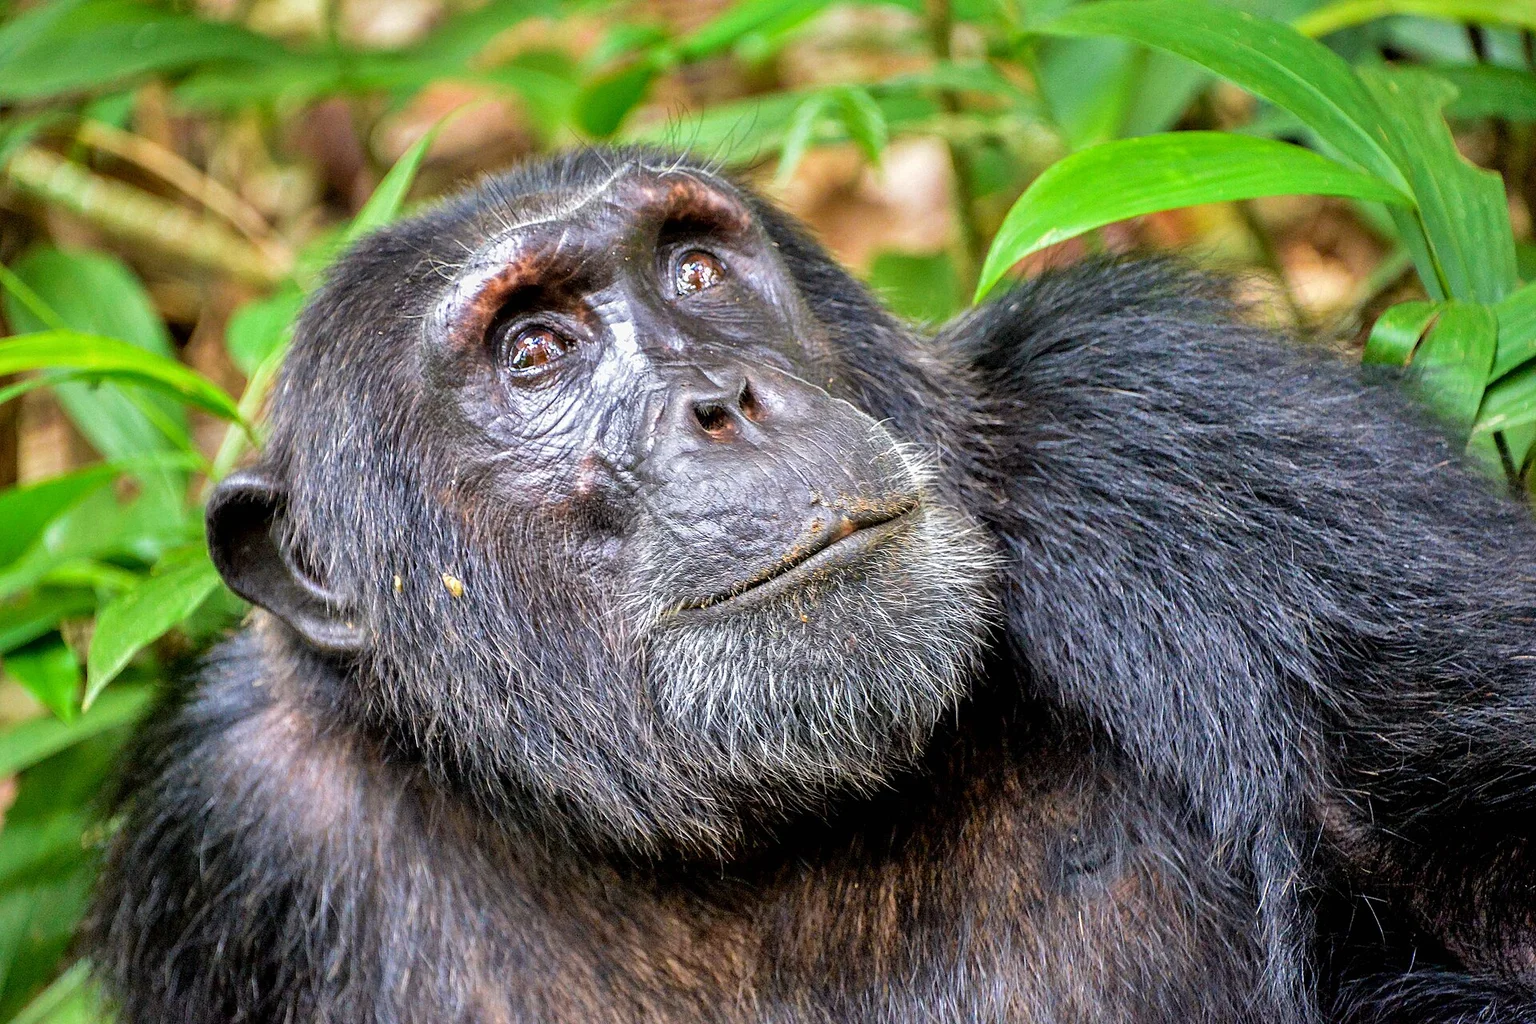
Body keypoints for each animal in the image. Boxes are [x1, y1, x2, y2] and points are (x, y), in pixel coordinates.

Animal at [84, 147, 1536, 1023]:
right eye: (535, 351)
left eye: (696, 266)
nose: (722, 398)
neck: (745, 848)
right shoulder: (235, 841)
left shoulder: (1206, 455)